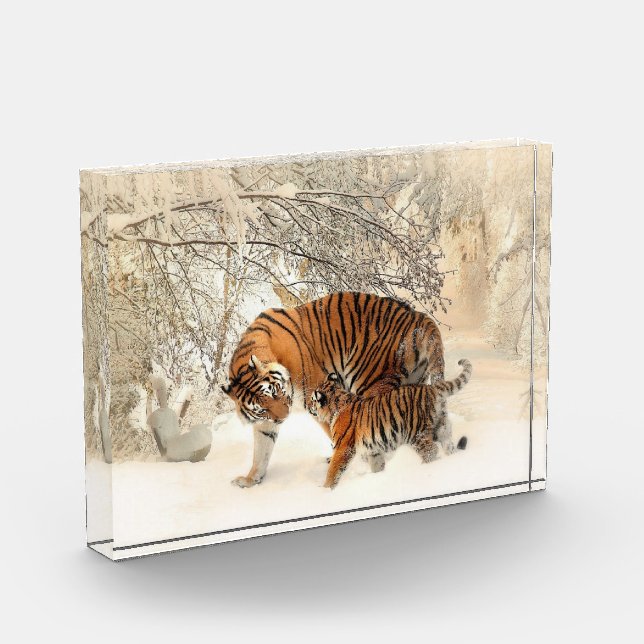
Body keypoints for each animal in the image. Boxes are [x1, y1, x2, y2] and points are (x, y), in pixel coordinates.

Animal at [222, 292, 445, 487]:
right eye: (261, 409)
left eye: (275, 391)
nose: (283, 418)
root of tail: (417, 316)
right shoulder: (266, 421)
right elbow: (262, 449)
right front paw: (251, 480)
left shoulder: (317, 393)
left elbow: (336, 432)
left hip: (370, 381)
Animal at [309, 359, 472, 488]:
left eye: (312, 400)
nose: (309, 408)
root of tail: (431, 388)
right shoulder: (373, 450)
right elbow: (377, 465)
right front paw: (377, 477)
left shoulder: (343, 448)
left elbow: (333, 470)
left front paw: (325, 490)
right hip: (442, 428)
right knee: (448, 447)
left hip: (416, 434)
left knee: (431, 451)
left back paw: (423, 469)